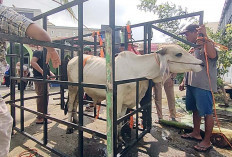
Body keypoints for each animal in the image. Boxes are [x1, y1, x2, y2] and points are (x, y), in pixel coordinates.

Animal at [65, 44, 203, 134]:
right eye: (178, 54)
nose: (201, 63)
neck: (138, 71)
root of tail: (72, 59)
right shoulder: (118, 99)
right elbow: (117, 118)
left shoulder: (126, 102)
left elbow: (121, 120)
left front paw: (120, 139)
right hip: (72, 87)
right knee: (71, 104)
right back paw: (69, 128)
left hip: (80, 89)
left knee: (76, 103)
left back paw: (76, 122)